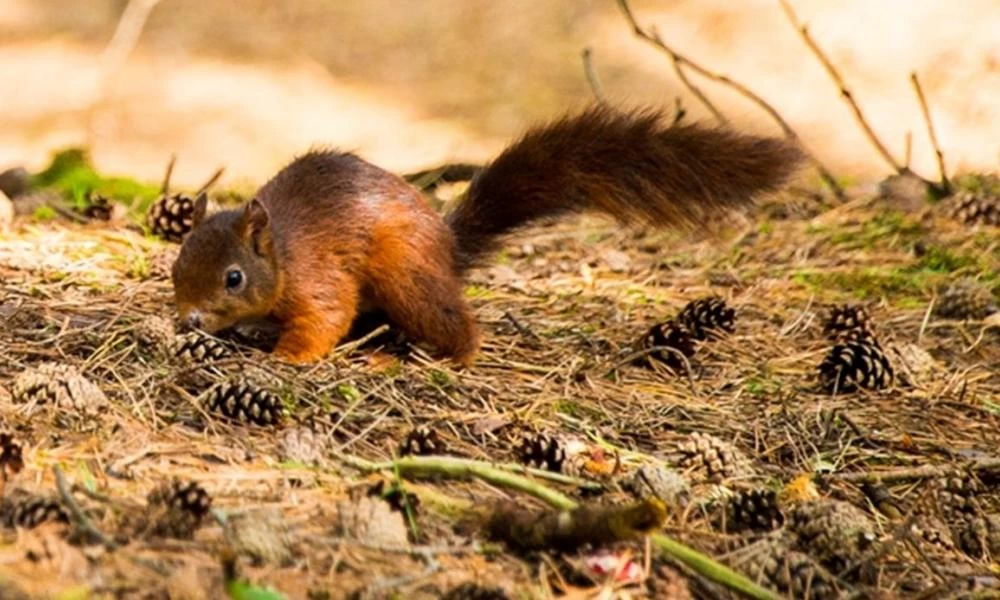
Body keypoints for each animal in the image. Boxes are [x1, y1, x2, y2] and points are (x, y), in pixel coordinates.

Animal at [168, 105, 800, 364]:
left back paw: (443, 358)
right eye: (176, 267)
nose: (189, 320)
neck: (282, 254)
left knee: (452, 323)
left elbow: (324, 318)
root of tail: (447, 250)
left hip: (405, 275)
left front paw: (287, 358)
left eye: (233, 277)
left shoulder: (320, 279)